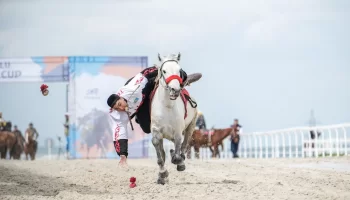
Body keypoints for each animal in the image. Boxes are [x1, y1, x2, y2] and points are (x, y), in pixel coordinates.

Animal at [151, 52, 198, 184]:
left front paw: (178, 161)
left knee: (184, 144)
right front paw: (162, 174)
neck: (167, 105)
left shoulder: (177, 130)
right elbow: (159, 151)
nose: (175, 90)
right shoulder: (156, 130)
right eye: (164, 71)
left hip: (191, 125)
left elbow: (178, 148)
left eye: (179, 70)